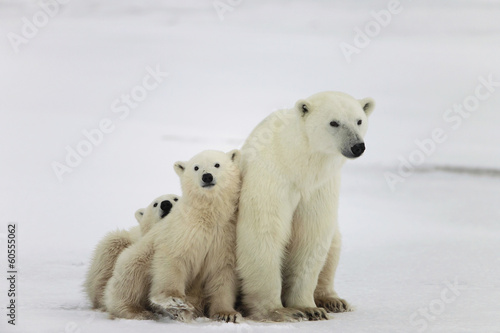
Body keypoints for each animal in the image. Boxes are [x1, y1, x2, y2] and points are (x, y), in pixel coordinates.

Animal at [104, 150, 242, 322]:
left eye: (217, 164)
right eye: (196, 167)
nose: (207, 177)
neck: (207, 216)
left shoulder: (225, 237)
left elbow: (223, 273)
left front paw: (227, 314)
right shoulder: (182, 231)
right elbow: (173, 259)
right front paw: (175, 301)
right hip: (137, 256)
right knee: (131, 277)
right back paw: (137, 311)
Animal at [236, 89, 374, 320]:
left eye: (359, 120)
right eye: (334, 122)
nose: (357, 146)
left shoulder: (319, 187)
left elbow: (311, 236)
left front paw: (310, 308)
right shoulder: (271, 178)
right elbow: (263, 232)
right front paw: (278, 311)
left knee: (333, 246)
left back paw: (333, 300)